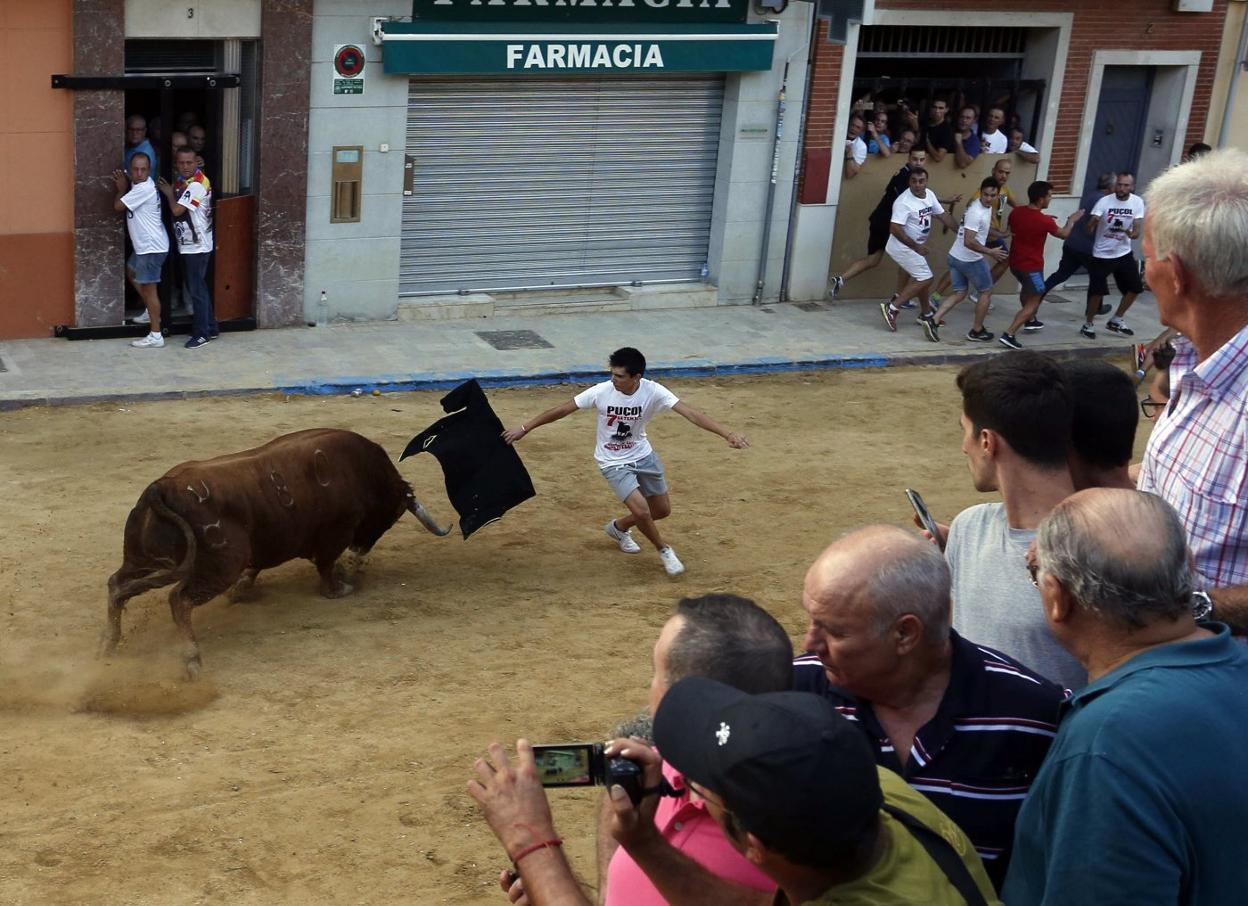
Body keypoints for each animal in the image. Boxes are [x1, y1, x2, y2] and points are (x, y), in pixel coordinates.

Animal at [104, 429, 451, 678]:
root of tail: (161, 487)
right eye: (394, 516)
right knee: (179, 599)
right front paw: (341, 587)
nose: (361, 551)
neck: (360, 471)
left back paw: (106, 647)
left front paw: (243, 591)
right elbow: (325, 566)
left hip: (143, 560)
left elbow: (255, 570)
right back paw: (192, 660)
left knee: (117, 586)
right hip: (221, 564)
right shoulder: (336, 532)